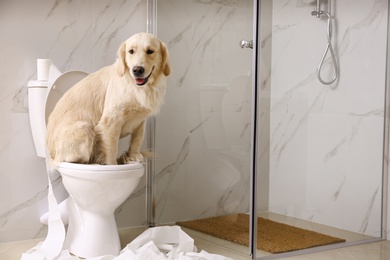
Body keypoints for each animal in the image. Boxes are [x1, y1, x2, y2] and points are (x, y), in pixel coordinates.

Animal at [45, 33, 169, 165]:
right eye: (131, 51)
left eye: (150, 51)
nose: (137, 70)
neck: (135, 86)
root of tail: (51, 154)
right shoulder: (110, 121)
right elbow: (111, 150)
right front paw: (113, 163)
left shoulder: (141, 120)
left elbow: (137, 139)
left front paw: (133, 155)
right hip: (84, 128)